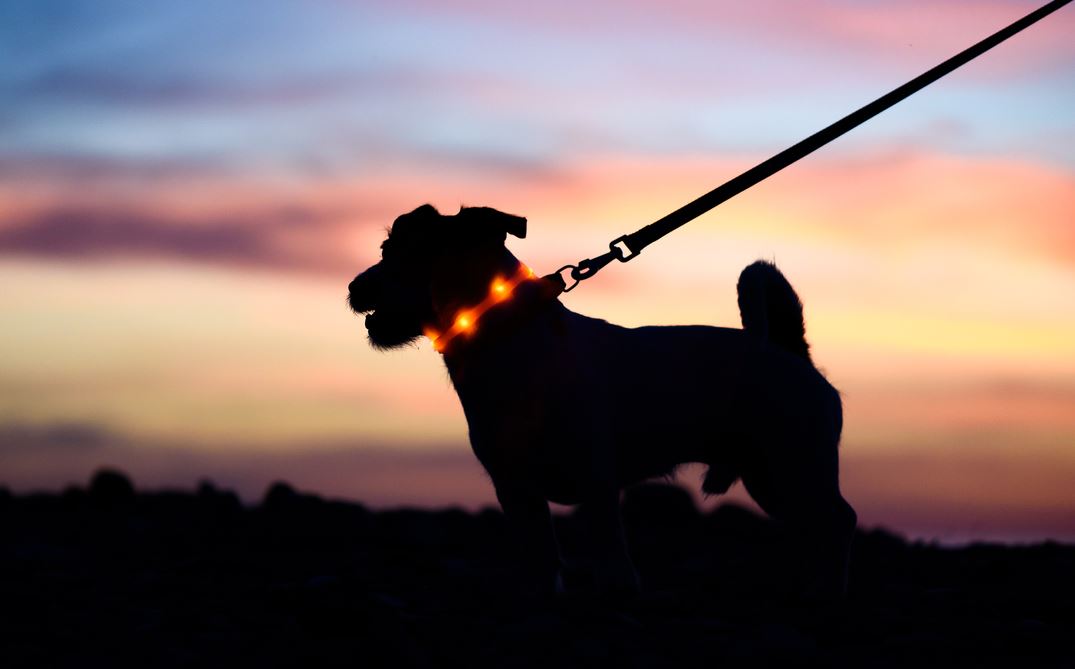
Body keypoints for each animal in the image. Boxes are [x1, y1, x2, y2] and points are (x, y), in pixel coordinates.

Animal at [350, 204, 855, 598]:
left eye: (400, 252)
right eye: (384, 249)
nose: (354, 288)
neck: (505, 337)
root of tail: (791, 352)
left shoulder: (596, 482)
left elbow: (610, 554)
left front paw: (617, 588)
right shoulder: (516, 489)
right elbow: (540, 559)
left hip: (796, 469)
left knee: (838, 523)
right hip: (772, 478)